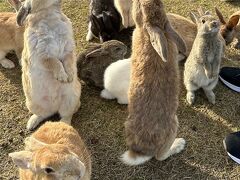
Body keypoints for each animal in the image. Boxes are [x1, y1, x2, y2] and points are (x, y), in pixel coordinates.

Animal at [16, 0, 81, 130]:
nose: (68, 79)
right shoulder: (41, 55)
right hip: (32, 104)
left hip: (71, 100)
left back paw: (63, 126)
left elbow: (68, 60)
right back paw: (31, 124)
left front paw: (70, 77)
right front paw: (62, 78)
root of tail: (55, 107)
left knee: (66, 116)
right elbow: (54, 62)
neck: (48, 14)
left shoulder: (68, 49)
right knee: (43, 114)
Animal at [121, 0, 187, 166]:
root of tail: (140, 152)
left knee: (160, 156)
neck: (146, 31)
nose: (134, 1)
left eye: (138, 6)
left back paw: (179, 144)